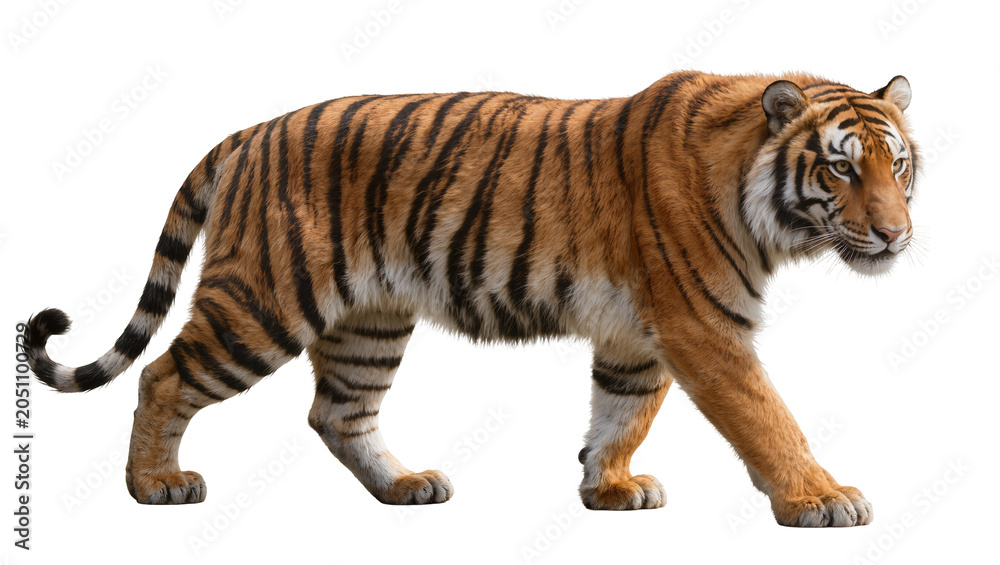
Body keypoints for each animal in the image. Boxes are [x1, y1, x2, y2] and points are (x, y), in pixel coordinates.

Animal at [25, 70, 916, 527]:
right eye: (841, 166)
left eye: (897, 164)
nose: (897, 235)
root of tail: (248, 133)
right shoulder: (704, 326)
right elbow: (768, 416)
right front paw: (822, 496)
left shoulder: (639, 335)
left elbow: (623, 411)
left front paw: (607, 487)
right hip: (265, 299)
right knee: (164, 374)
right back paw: (155, 484)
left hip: (370, 320)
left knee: (337, 411)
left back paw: (405, 485)